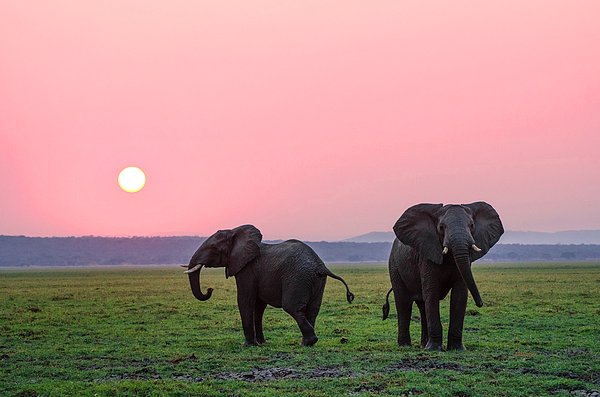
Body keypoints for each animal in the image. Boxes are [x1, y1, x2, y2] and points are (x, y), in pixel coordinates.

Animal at [180, 224, 354, 344]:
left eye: (213, 248)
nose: (210, 289)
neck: (236, 231)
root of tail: (320, 265)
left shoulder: (247, 269)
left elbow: (245, 300)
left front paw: (249, 345)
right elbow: (259, 306)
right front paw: (262, 343)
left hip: (298, 278)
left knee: (292, 307)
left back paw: (308, 342)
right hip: (316, 280)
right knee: (313, 309)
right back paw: (307, 342)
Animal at [382, 201, 504, 350]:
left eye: (471, 225)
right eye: (441, 227)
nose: (480, 303)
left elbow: (459, 295)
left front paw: (457, 349)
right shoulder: (427, 254)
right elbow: (432, 293)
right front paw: (434, 349)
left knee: (422, 306)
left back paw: (423, 345)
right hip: (394, 266)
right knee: (404, 303)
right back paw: (405, 346)